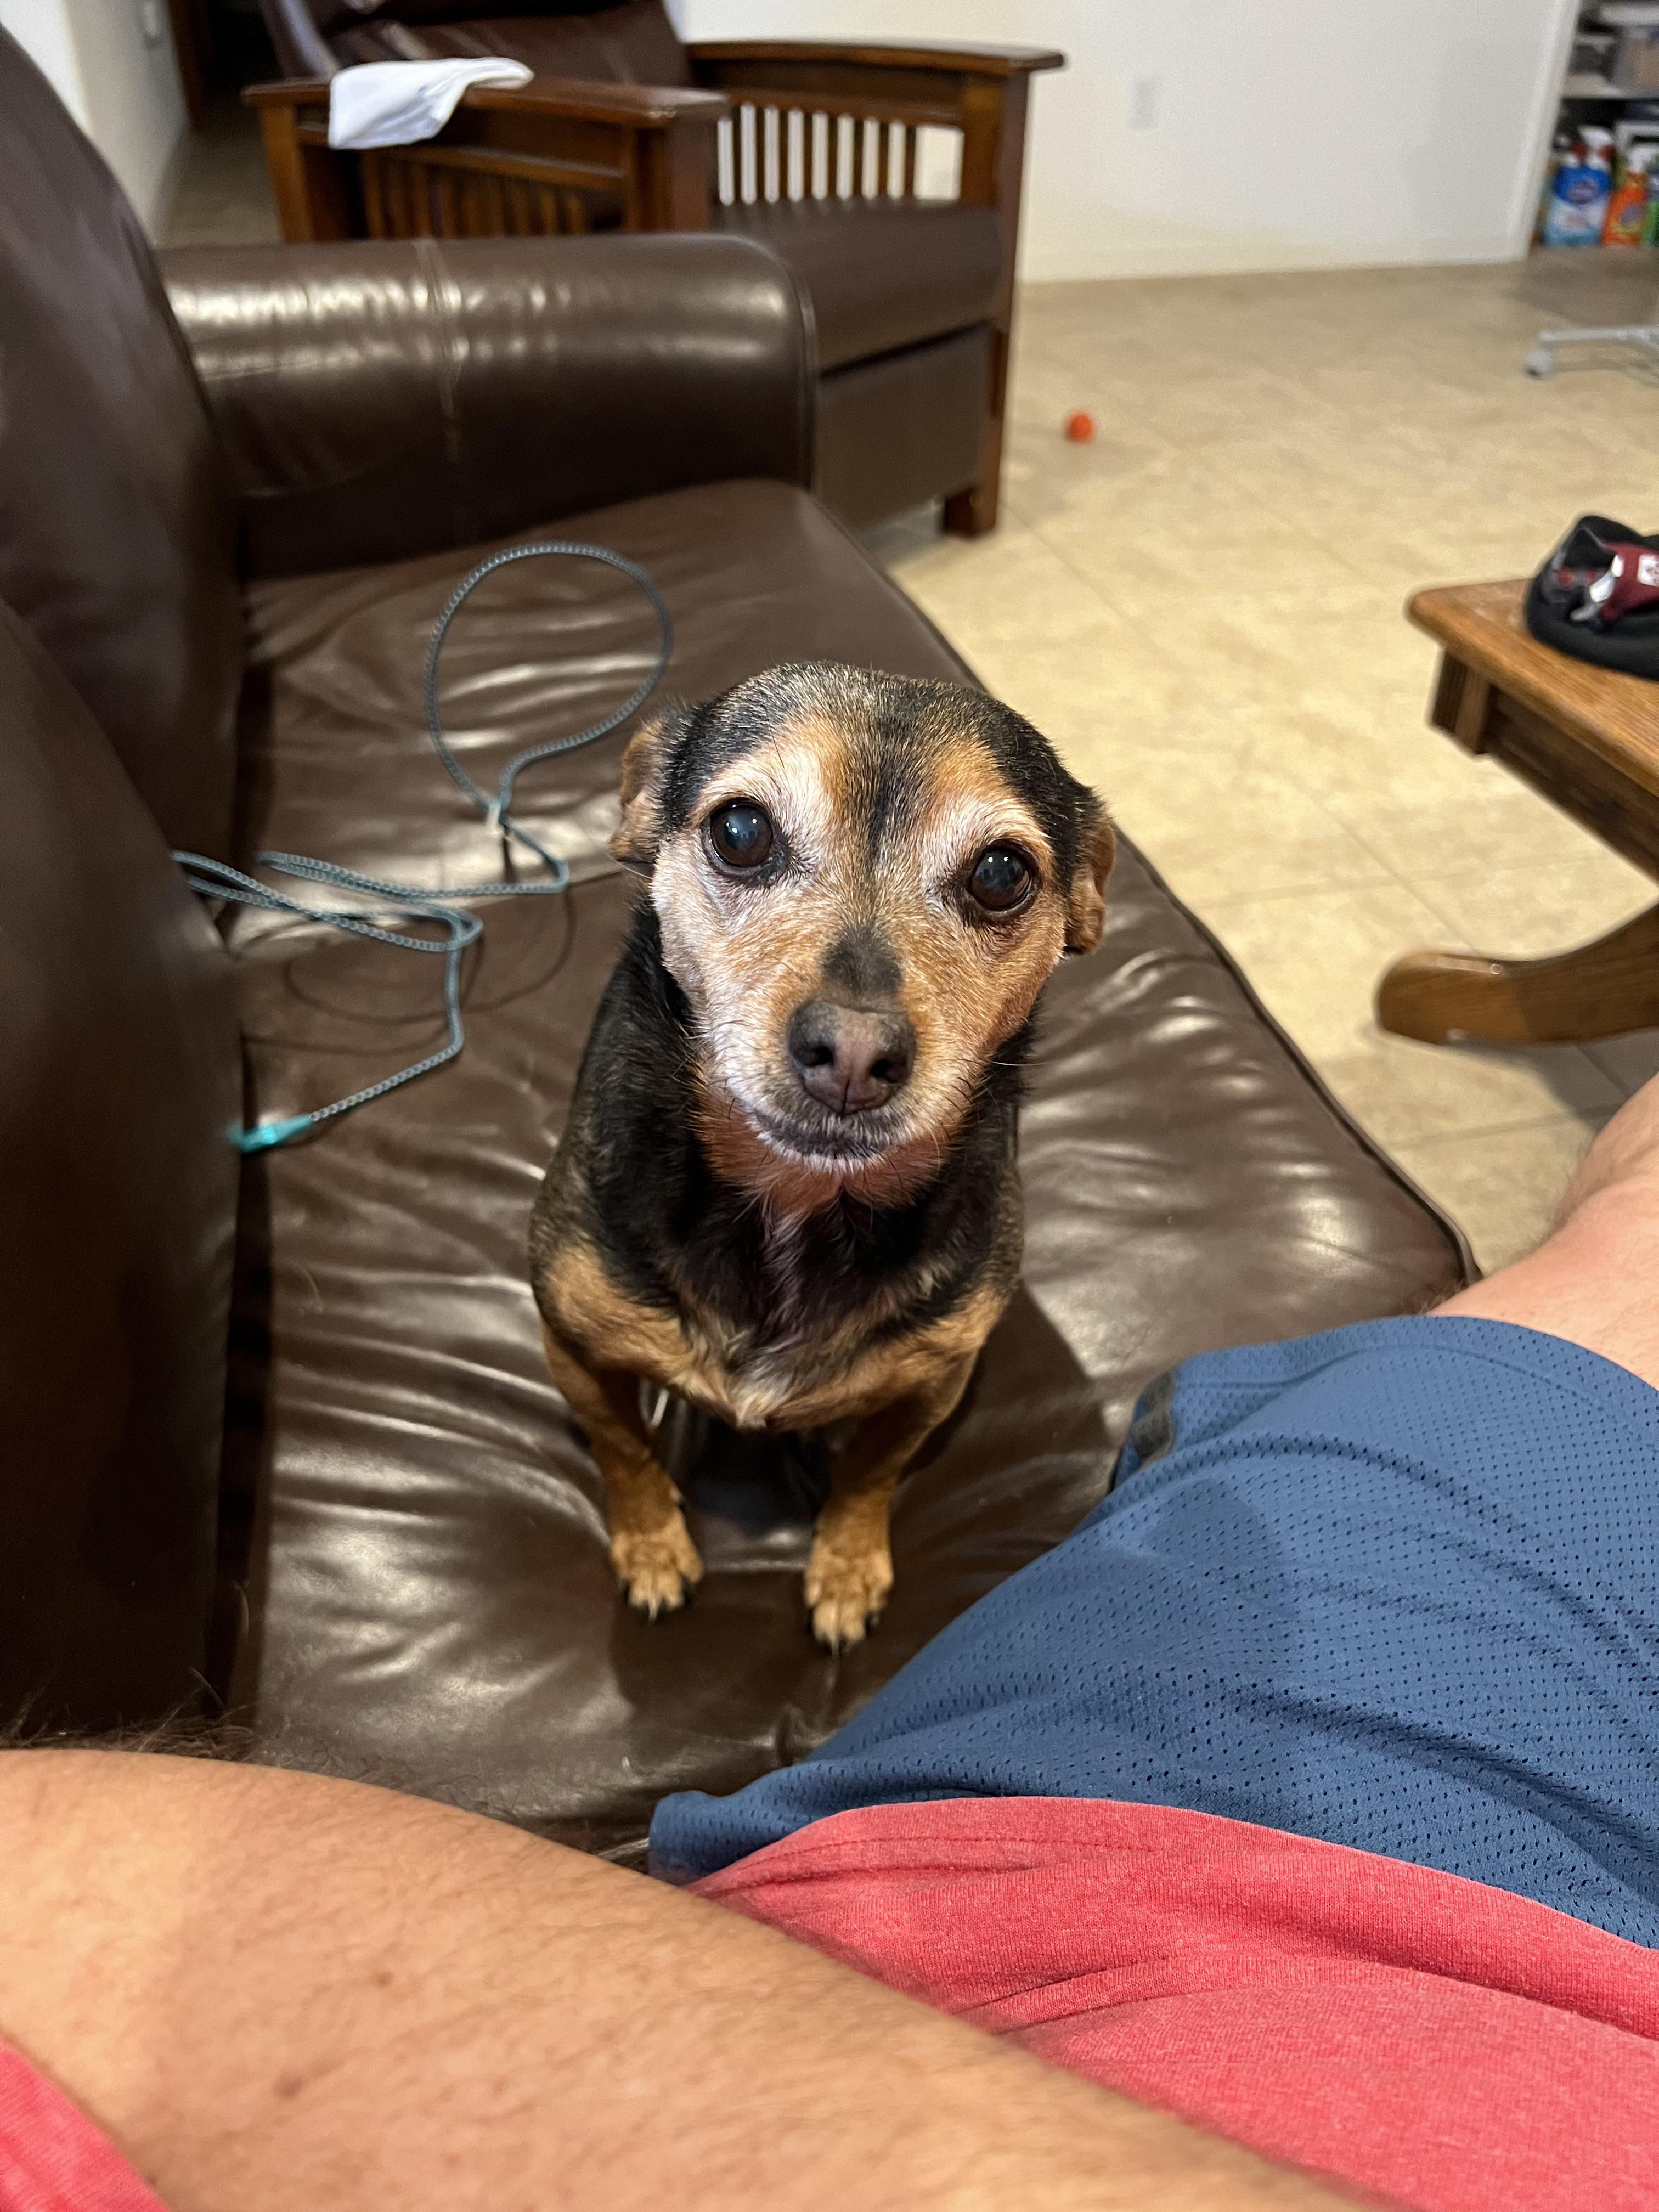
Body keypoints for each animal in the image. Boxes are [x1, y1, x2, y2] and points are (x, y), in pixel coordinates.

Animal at [529, 663, 1113, 1647]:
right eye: (740, 831)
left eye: (1000, 875)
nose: (851, 1052)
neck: (798, 1199)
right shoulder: (574, 1343)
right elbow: (624, 1449)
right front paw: (651, 1546)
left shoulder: (930, 1382)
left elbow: (868, 1474)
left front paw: (845, 1568)